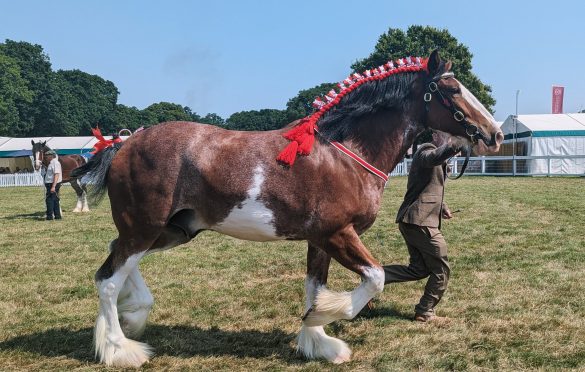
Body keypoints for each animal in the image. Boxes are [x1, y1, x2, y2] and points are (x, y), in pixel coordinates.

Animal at [72, 50, 502, 368]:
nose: (495, 134)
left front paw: (319, 342)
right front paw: (325, 318)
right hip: (145, 227)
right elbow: (375, 277)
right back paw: (120, 350)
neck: (345, 154)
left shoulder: (320, 240)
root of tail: (123, 145)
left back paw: (134, 316)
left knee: (115, 258)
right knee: (108, 279)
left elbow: (315, 287)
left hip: (171, 230)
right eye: (451, 89)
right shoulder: (337, 234)